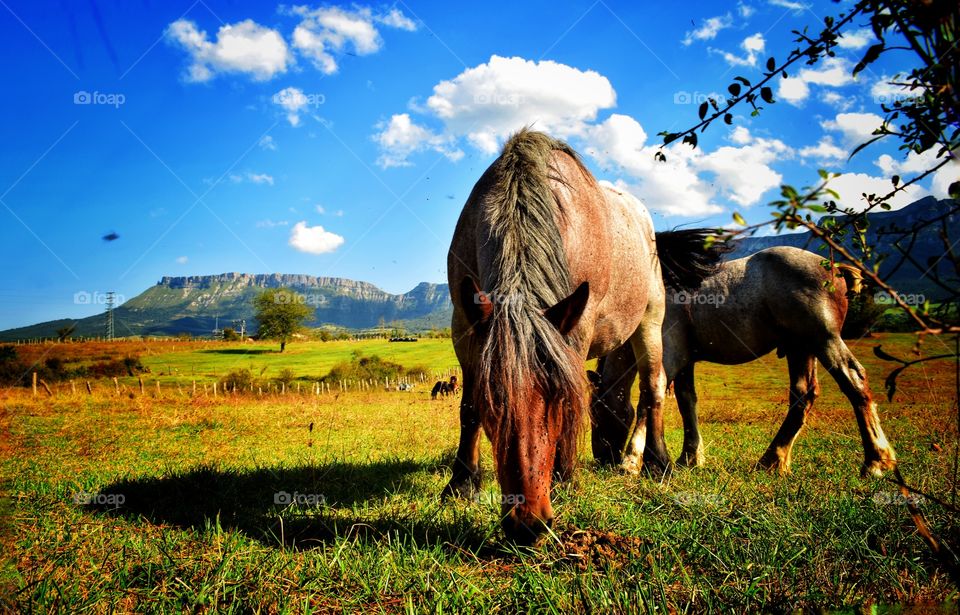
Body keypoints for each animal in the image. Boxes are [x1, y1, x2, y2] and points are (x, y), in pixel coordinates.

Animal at [443, 129, 724, 543]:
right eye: (495, 401)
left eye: (558, 399)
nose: (528, 523)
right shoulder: (465, 328)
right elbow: (468, 410)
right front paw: (462, 483)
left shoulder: (576, 329)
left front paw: (564, 478)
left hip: (650, 320)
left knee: (653, 388)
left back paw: (656, 461)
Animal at [588, 246, 897, 478]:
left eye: (596, 414)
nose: (601, 457)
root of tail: (833, 267)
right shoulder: (686, 362)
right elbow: (687, 402)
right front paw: (690, 456)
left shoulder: (669, 357)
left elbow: (648, 399)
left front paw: (631, 460)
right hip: (801, 348)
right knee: (803, 396)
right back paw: (773, 459)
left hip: (824, 341)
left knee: (854, 382)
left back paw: (876, 461)